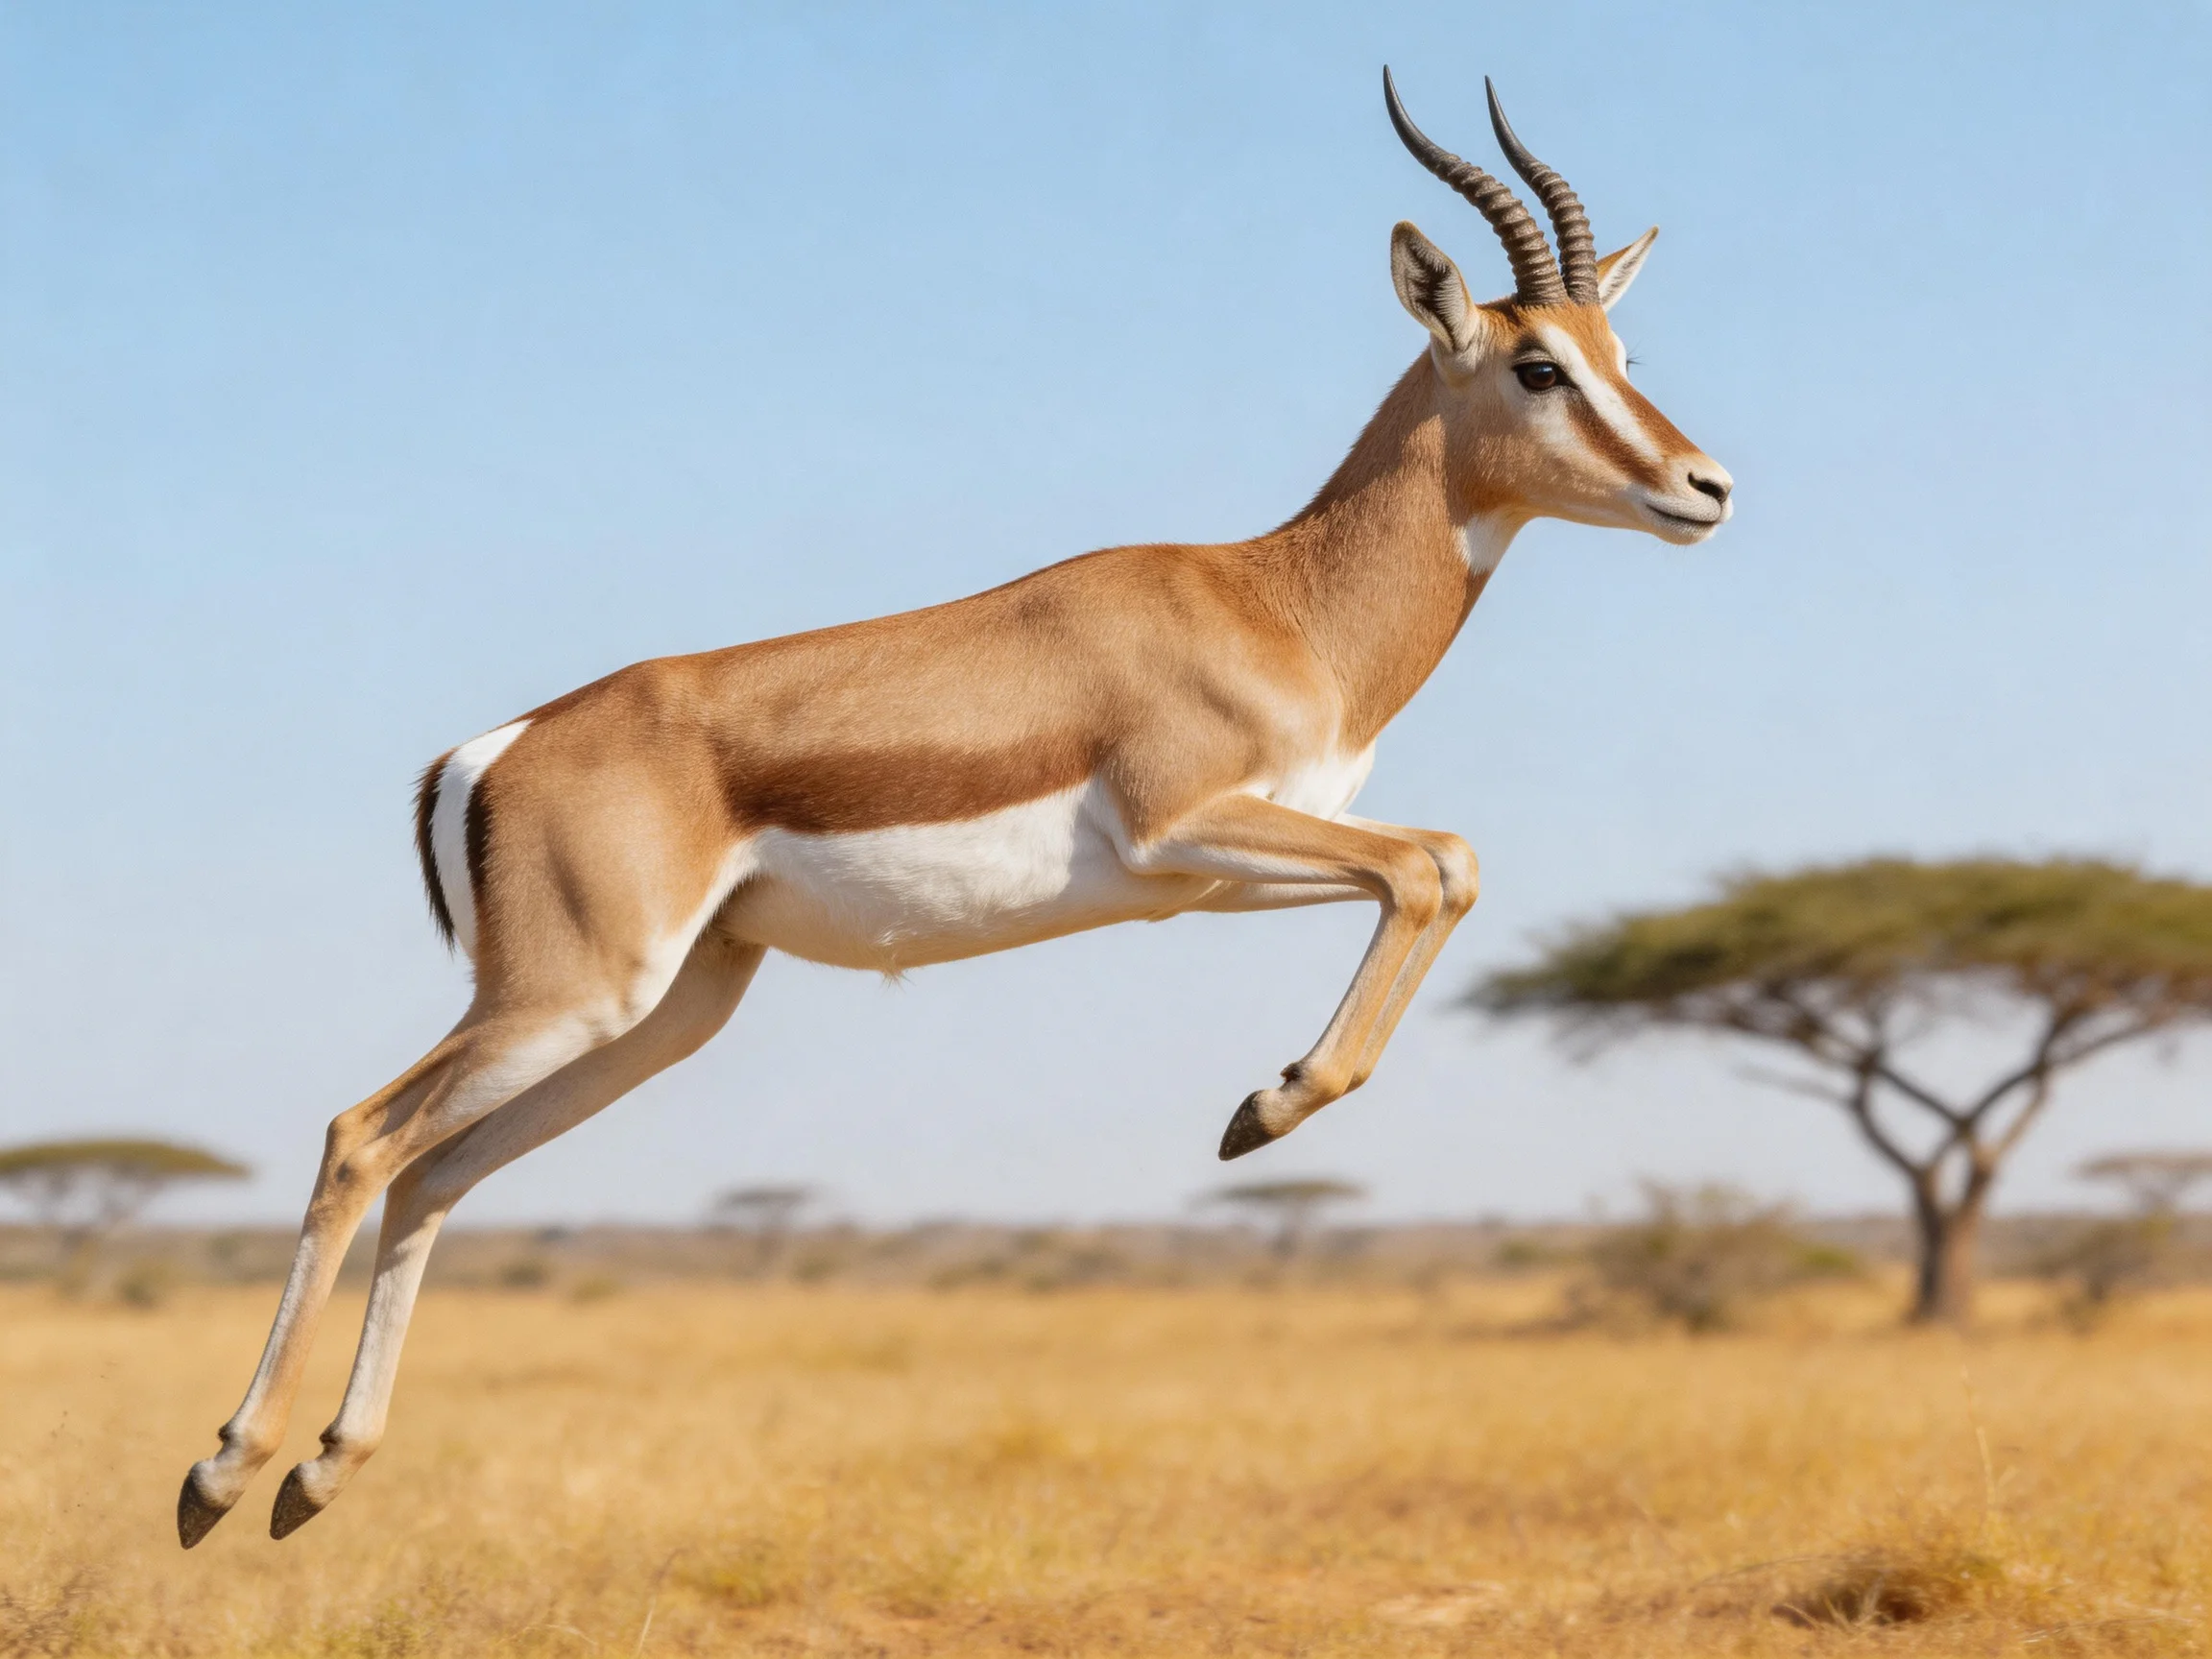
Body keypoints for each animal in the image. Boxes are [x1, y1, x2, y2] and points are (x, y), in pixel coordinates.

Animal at [178, 69, 1731, 1548]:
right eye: (1538, 365)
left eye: (1623, 358)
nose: (1704, 487)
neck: (1276, 604)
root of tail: (490, 751)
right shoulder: (1187, 827)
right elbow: (1434, 862)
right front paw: (1263, 1111)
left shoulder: (1211, 877)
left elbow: (1442, 863)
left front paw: (1267, 1101)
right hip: (573, 997)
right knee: (363, 1137)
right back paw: (222, 1470)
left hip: (662, 1013)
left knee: (438, 1173)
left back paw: (320, 1474)